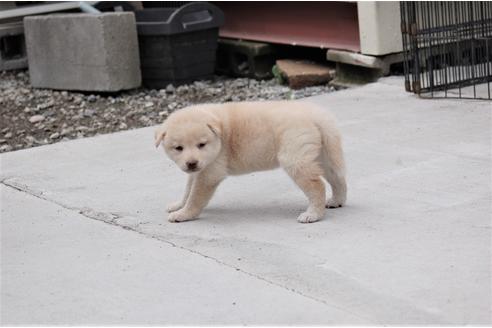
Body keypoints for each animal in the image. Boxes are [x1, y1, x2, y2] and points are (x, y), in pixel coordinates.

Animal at [154, 100, 346, 223]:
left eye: (201, 145)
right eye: (178, 148)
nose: (192, 163)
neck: (220, 133)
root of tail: (315, 115)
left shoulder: (210, 172)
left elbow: (195, 196)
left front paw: (184, 214)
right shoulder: (200, 170)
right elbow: (188, 191)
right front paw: (178, 205)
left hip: (295, 159)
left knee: (317, 186)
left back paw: (313, 214)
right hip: (324, 156)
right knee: (338, 178)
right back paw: (337, 201)